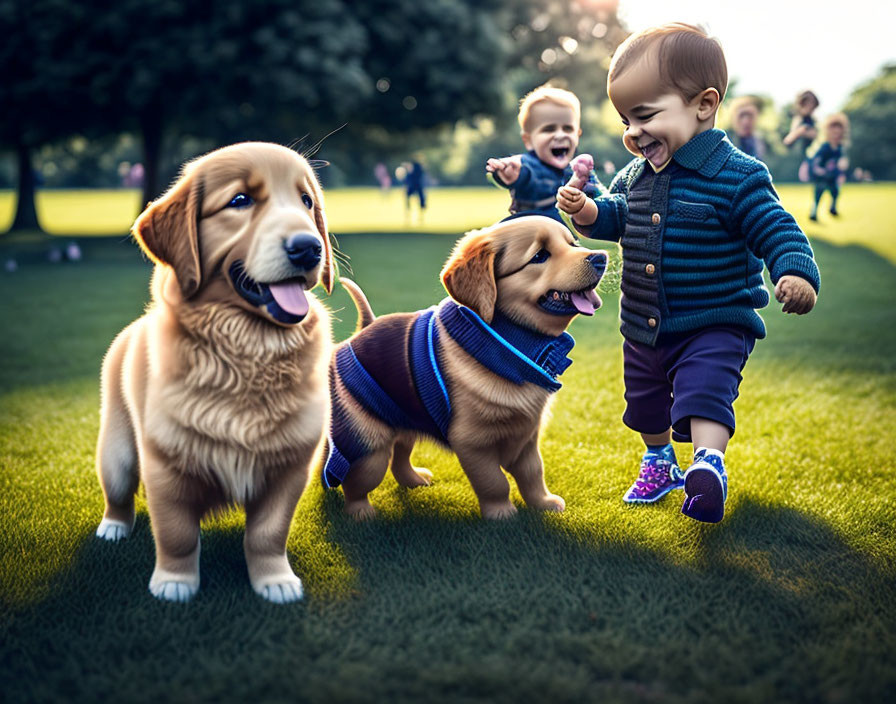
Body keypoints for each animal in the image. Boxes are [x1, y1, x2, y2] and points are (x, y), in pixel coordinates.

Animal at [95, 143, 332, 604]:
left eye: (306, 202)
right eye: (240, 201)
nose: (310, 248)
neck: (247, 353)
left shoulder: (290, 467)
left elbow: (267, 533)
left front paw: (274, 581)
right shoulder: (165, 466)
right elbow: (177, 533)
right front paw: (175, 582)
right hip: (116, 450)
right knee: (118, 492)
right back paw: (113, 527)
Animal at [324, 217, 608, 520]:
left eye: (573, 244)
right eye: (540, 256)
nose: (601, 257)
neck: (511, 344)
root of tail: (361, 331)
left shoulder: (527, 435)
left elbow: (533, 473)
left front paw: (543, 503)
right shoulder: (473, 443)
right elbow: (493, 481)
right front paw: (502, 514)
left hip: (405, 421)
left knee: (398, 456)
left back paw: (413, 479)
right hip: (370, 449)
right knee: (354, 477)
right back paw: (360, 513)